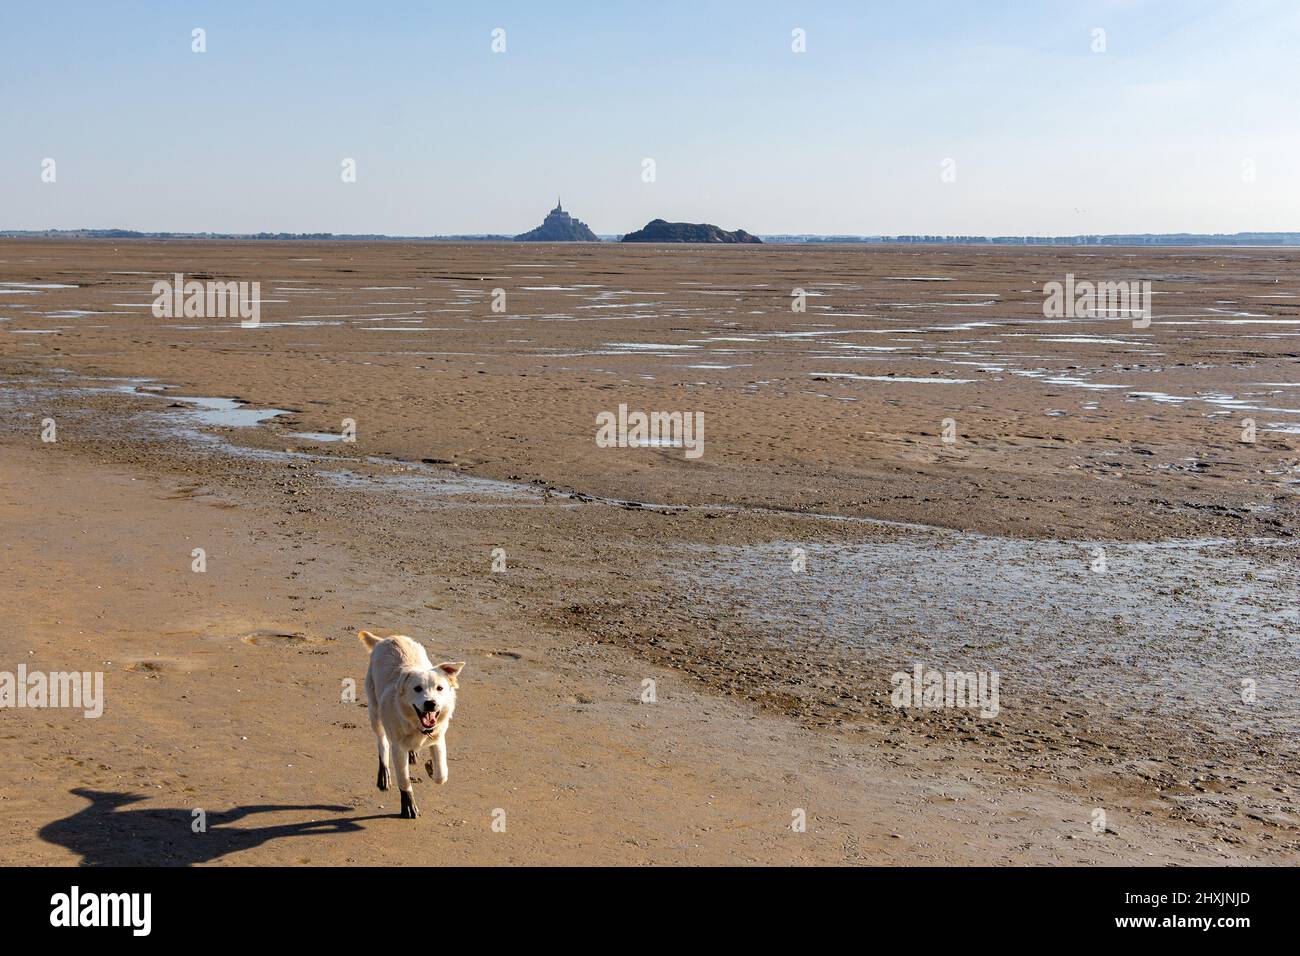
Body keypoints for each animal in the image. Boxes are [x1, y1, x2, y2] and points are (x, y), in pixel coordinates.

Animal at [361, 632, 467, 816]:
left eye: (440, 688)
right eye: (417, 688)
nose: (430, 703)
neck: (418, 727)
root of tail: (387, 638)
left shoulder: (438, 739)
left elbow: (442, 774)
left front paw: (431, 767)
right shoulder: (398, 748)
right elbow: (403, 779)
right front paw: (409, 806)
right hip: (374, 711)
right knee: (382, 742)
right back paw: (384, 774)